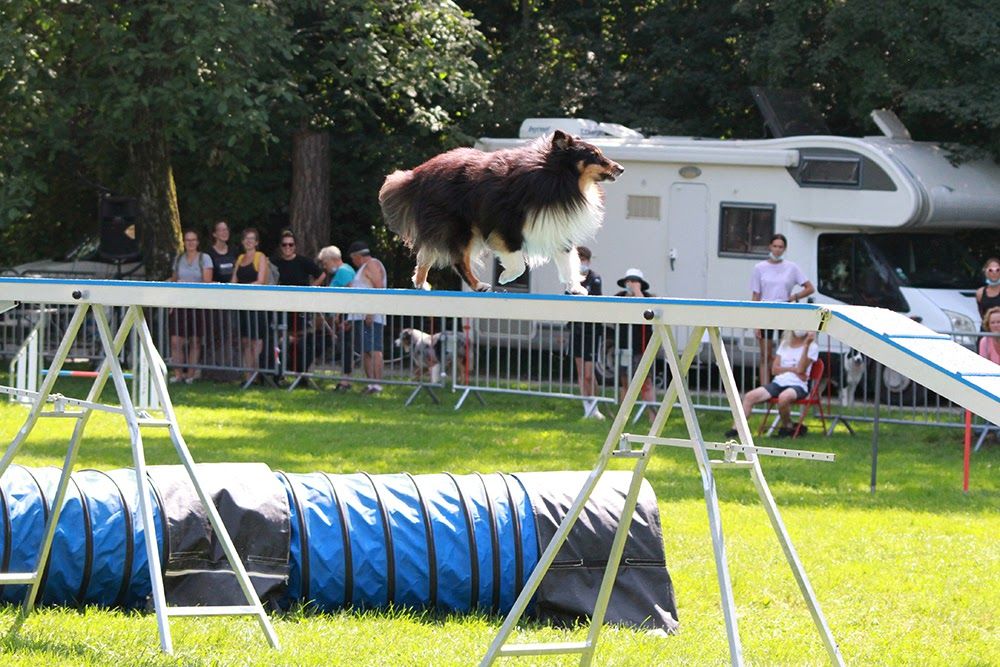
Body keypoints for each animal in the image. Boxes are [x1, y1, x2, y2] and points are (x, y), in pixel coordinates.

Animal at [378, 132, 620, 294]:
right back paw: (479, 285)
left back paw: (420, 283)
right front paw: (505, 277)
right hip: (460, 227)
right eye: (595, 155)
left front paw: (576, 288)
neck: (557, 178)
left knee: (426, 253)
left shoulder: (556, 227)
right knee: (459, 260)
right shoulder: (507, 225)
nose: (621, 168)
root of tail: (417, 176)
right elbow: (518, 262)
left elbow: (568, 262)